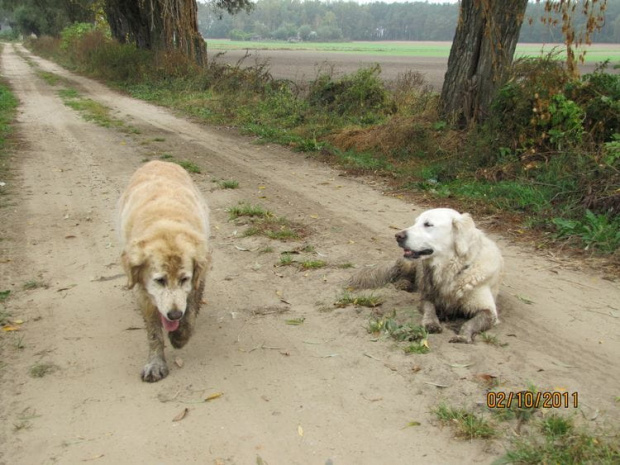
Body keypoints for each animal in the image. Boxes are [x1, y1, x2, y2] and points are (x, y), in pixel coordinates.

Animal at [117, 160, 212, 380]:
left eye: (185, 279)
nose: (174, 315)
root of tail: (159, 161)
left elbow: (190, 312)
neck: (166, 225)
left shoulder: (198, 278)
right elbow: (153, 332)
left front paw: (180, 336)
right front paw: (155, 363)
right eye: (159, 280)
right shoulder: (144, 292)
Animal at [352, 208, 502, 342]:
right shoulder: (426, 296)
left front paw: (463, 335)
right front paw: (431, 323)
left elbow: (470, 323)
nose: (397, 236)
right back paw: (403, 283)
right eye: (415, 222)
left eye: (428, 224)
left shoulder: (488, 310)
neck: (451, 269)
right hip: (411, 263)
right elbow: (430, 309)